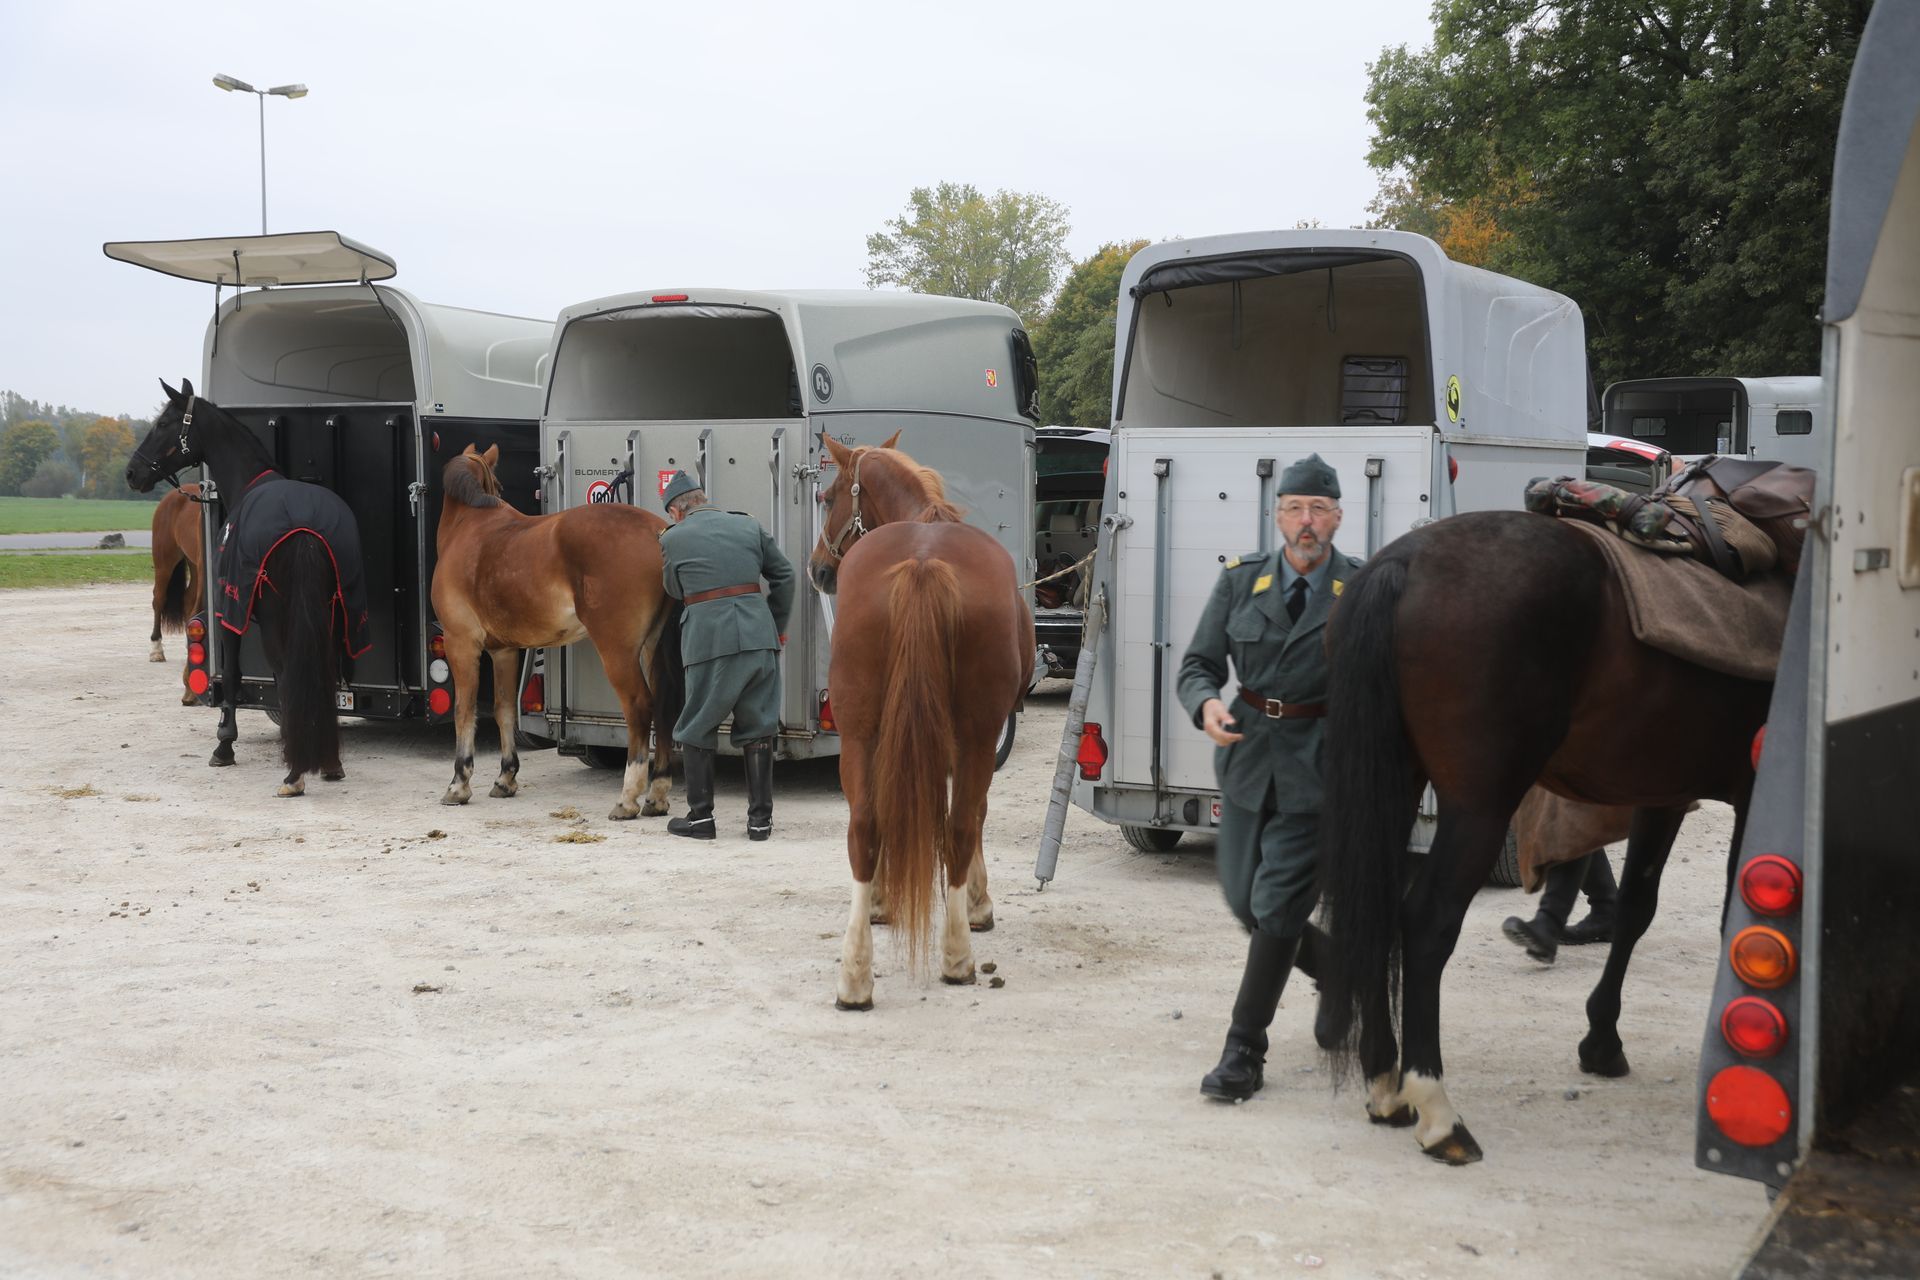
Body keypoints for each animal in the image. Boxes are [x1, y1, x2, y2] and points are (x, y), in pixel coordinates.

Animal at [431, 445, 682, 820]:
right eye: (500, 486)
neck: (469, 527)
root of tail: (656, 532)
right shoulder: (504, 651)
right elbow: (505, 709)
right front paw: (505, 778)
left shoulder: (460, 643)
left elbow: (465, 710)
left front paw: (459, 784)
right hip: (654, 647)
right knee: (665, 705)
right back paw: (658, 795)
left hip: (618, 651)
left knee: (639, 707)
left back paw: (627, 798)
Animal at [808, 432, 1034, 1009]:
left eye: (828, 497)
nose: (818, 568)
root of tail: (923, 564)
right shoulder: (975, 739)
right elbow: (972, 818)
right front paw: (977, 903)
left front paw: (884, 901)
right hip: (974, 735)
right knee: (959, 825)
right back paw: (956, 955)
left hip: (860, 734)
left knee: (864, 826)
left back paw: (855, 975)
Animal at [1316, 509, 1770, 1164]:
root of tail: (1406, 560)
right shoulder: (1754, 789)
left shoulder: (1664, 792)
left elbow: (1636, 907)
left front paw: (1602, 1040)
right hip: (1480, 805)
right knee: (1425, 922)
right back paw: (1438, 1113)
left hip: (1394, 779)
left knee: (1375, 906)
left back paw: (1384, 1083)